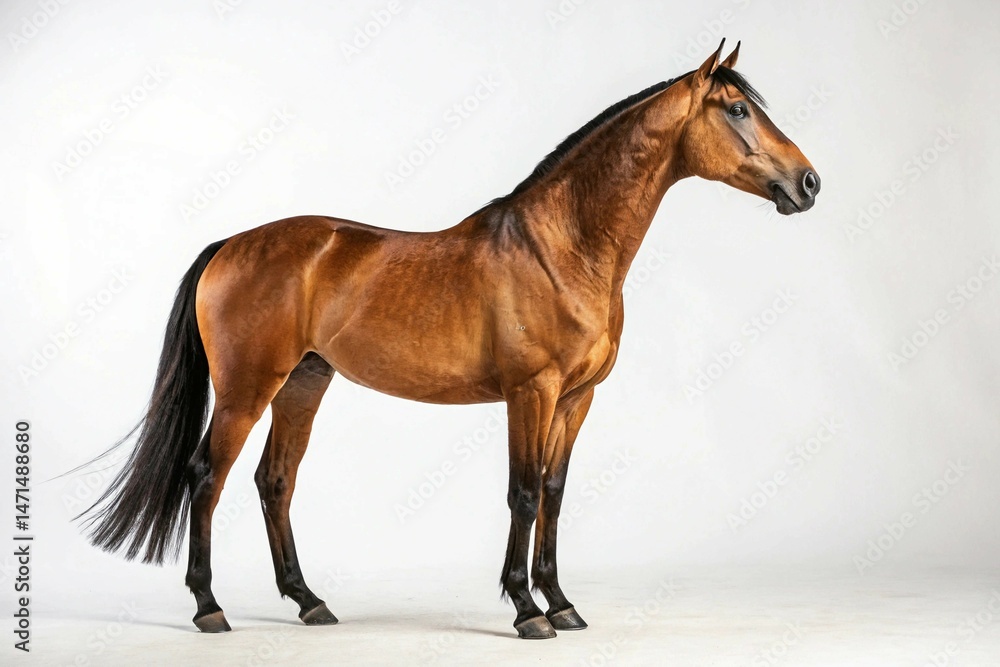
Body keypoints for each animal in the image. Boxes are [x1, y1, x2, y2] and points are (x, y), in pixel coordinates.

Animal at [79, 40, 820, 639]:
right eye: (737, 110)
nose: (808, 182)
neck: (563, 248)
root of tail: (228, 245)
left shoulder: (577, 398)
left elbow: (555, 491)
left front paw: (561, 603)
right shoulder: (530, 392)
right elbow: (523, 492)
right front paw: (526, 611)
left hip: (304, 382)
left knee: (275, 480)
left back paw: (309, 600)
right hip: (246, 387)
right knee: (207, 475)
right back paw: (209, 607)